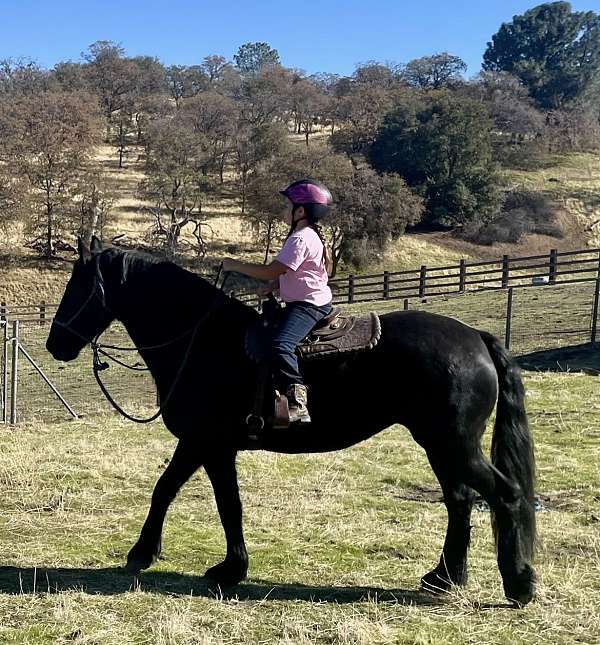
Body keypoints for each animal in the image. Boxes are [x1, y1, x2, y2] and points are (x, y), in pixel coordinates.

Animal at [44, 236, 536, 604]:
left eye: (77, 287)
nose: (55, 344)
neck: (202, 340)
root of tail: (475, 338)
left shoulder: (204, 442)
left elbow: (183, 493)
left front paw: (155, 555)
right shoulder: (214, 447)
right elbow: (212, 500)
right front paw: (220, 566)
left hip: (452, 443)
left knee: (504, 495)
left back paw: (520, 584)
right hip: (442, 445)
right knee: (459, 500)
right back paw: (445, 576)